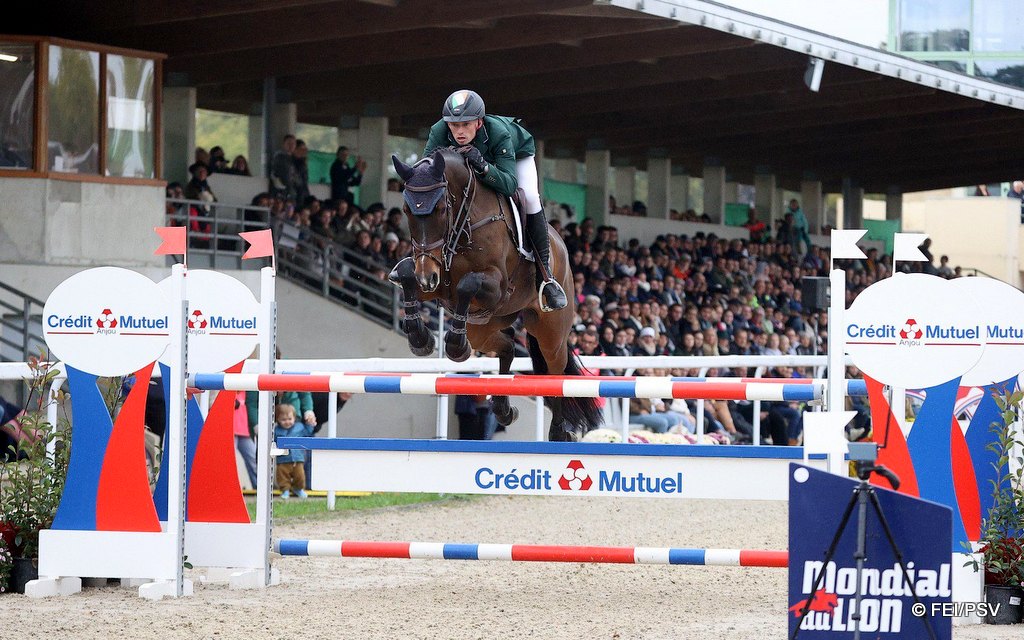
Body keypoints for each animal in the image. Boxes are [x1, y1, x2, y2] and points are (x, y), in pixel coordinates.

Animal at [389, 148, 602, 441]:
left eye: (441, 209)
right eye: (406, 210)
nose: (427, 275)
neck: (463, 224)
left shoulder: (496, 288)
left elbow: (467, 284)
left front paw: (453, 344)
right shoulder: (438, 284)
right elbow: (407, 272)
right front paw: (421, 338)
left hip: (550, 330)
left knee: (554, 370)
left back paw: (559, 431)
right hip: (483, 325)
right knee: (508, 343)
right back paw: (503, 409)